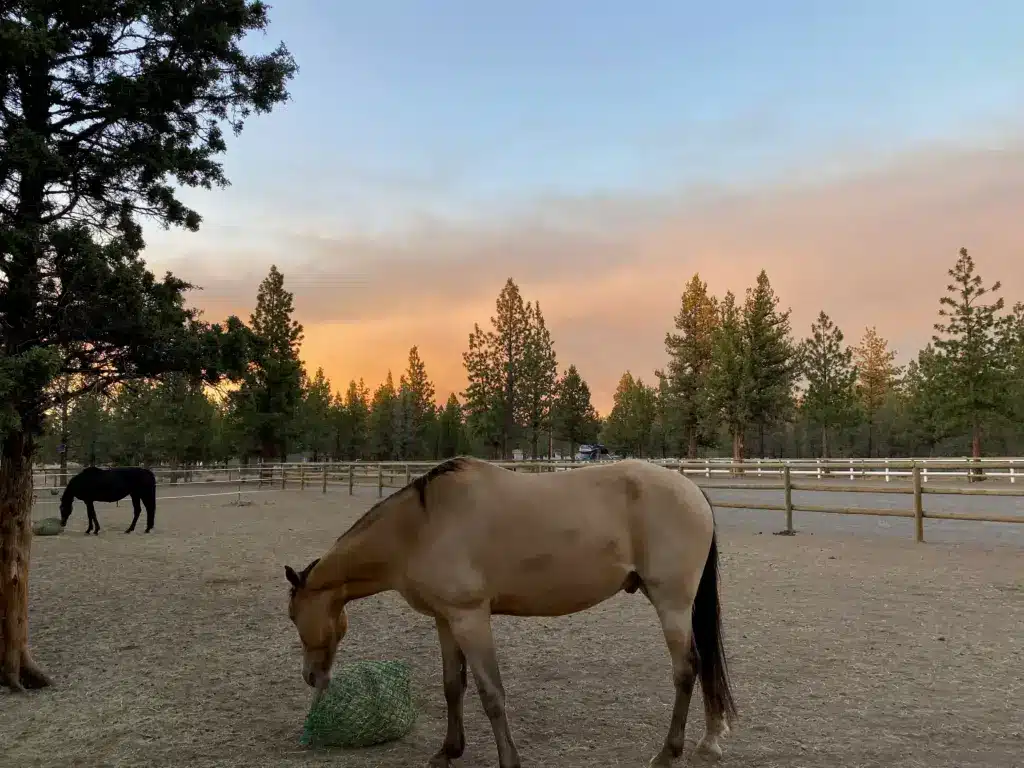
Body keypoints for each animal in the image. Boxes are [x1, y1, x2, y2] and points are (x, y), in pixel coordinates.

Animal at [286, 460, 737, 765]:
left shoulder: (471, 618)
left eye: (292, 616)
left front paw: (508, 760)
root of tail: (692, 490)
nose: (310, 676)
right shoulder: (446, 620)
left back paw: (668, 752)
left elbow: (491, 694)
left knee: (687, 670)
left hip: (671, 603)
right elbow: (453, 686)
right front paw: (448, 751)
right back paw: (709, 738)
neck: (419, 528)